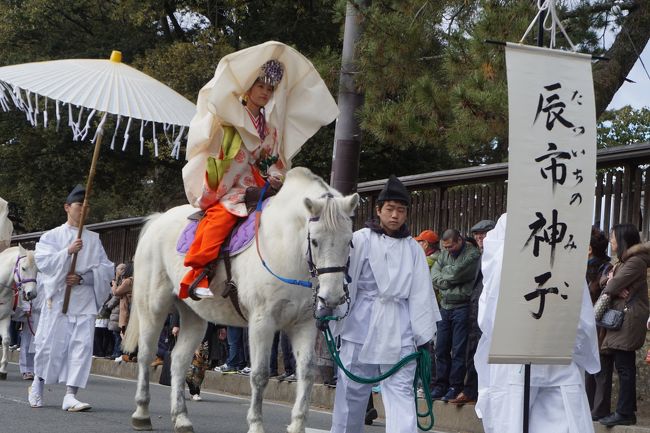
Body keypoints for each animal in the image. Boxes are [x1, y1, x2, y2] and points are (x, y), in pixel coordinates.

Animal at [0, 246, 37, 378]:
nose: (32, 294)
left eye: (37, 271)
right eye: (23, 268)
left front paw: (2, 370)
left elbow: (6, 340)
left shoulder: (4, 317)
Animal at [121, 167, 360, 432]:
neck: (288, 250)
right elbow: (260, 374)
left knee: (178, 360)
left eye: (349, 241)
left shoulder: (304, 323)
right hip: (152, 306)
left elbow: (306, 372)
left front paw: (297, 425)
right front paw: (256, 424)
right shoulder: (262, 321)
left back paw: (181, 418)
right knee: (145, 355)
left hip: (193, 314)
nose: (333, 297)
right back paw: (142, 413)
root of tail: (158, 220)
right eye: (315, 241)